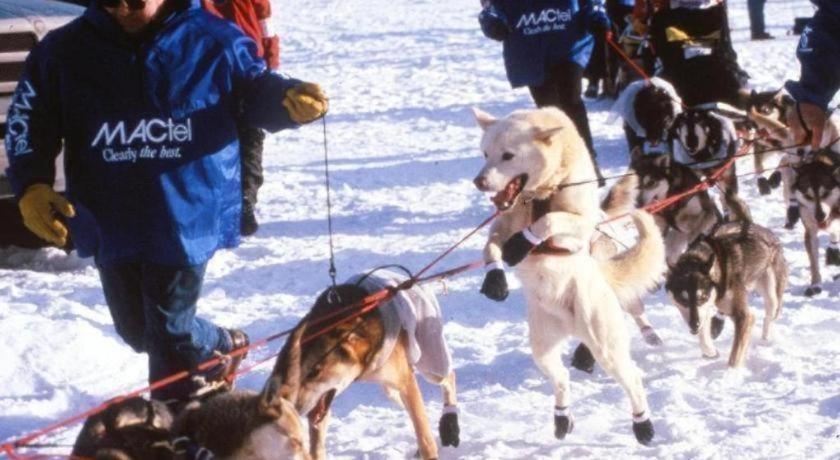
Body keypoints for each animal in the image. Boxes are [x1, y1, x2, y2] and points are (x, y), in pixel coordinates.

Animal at [472, 106, 664, 444]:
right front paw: (495, 278)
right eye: (485, 153)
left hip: (606, 347)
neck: (540, 194)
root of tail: (571, 326)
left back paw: (643, 423)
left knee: (633, 381)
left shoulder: (579, 223)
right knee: (562, 380)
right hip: (543, 349)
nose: (479, 181)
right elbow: (491, 247)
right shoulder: (503, 222)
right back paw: (562, 417)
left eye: (508, 155)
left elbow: (550, 220)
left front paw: (524, 241)